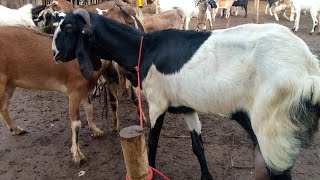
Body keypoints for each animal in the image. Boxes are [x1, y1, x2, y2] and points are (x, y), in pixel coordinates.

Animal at [51, 9, 320, 179]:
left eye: (69, 27)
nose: (55, 54)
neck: (144, 49)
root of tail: (309, 69)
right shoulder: (187, 109)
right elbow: (198, 147)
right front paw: (206, 176)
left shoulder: (157, 104)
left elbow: (152, 143)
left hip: (274, 133)